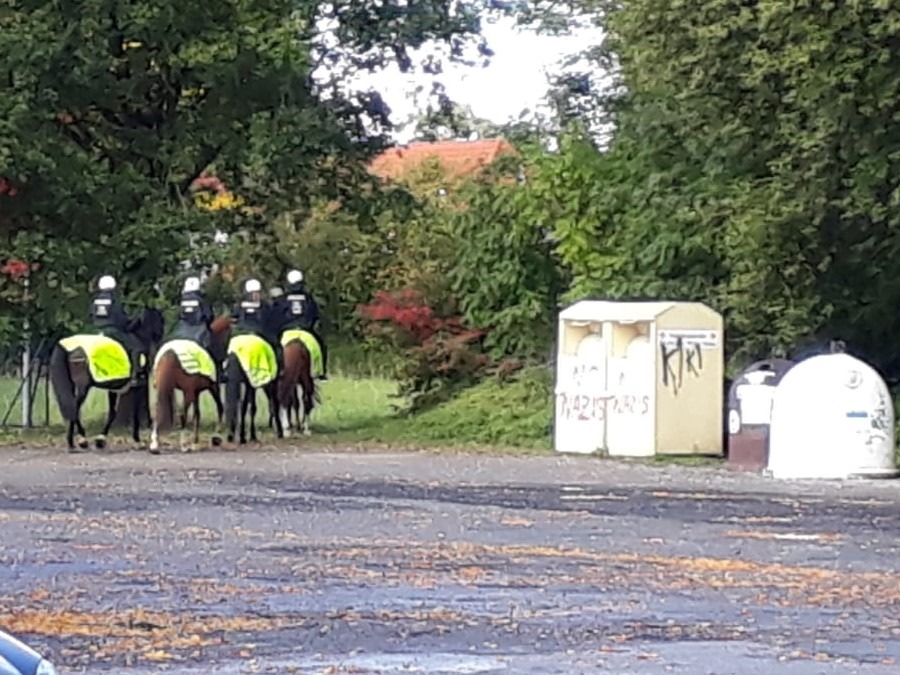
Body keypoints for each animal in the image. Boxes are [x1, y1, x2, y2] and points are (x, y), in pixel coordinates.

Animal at [49, 308, 167, 452]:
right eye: (161, 320)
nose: (160, 335)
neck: (138, 337)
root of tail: (68, 346)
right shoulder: (138, 387)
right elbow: (135, 415)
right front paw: (138, 441)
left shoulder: (113, 389)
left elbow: (112, 414)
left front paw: (100, 440)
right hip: (83, 387)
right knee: (74, 408)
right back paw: (79, 441)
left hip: (73, 386)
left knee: (71, 407)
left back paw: (76, 441)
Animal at [149, 316, 234, 454]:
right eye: (228, 336)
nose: (225, 356)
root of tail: (169, 353)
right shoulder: (212, 388)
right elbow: (219, 407)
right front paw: (217, 434)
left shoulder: (196, 392)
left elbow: (197, 414)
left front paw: (195, 442)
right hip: (188, 393)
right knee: (183, 415)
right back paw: (183, 445)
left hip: (166, 389)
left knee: (158, 411)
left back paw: (155, 444)